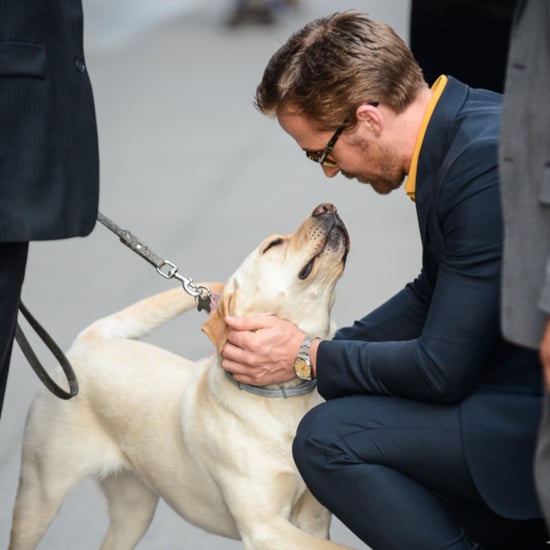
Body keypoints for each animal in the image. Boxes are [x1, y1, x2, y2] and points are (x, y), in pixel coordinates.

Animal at [9, 204, 354, 550]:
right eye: (273, 245)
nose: (327, 207)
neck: (282, 400)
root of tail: (91, 341)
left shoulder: (312, 521)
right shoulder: (264, 527)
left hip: (134, 510)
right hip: (40, 495)